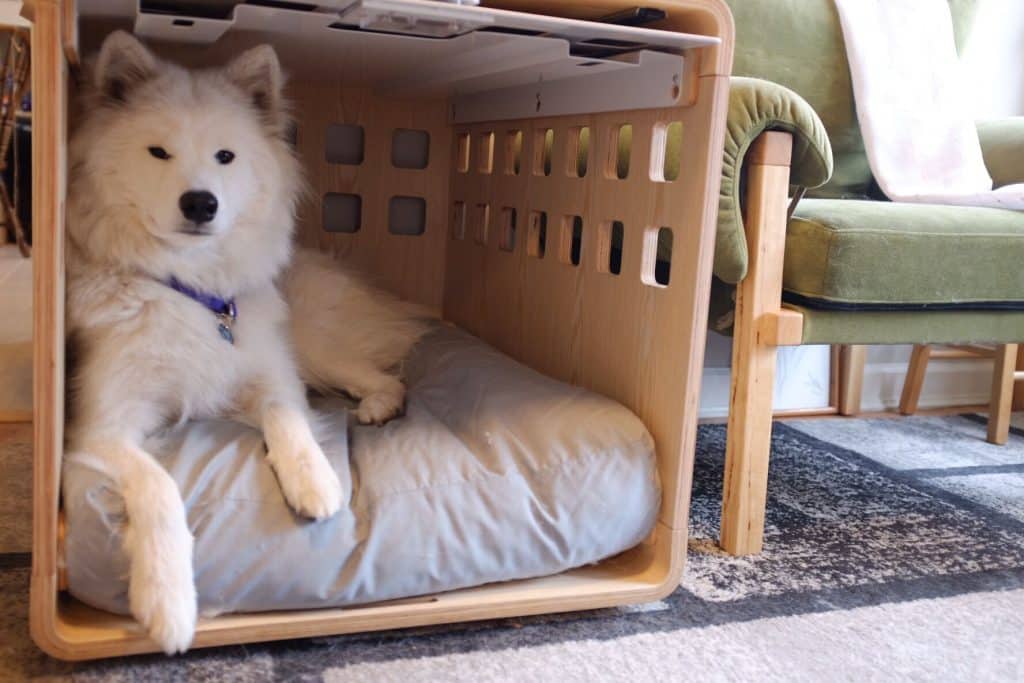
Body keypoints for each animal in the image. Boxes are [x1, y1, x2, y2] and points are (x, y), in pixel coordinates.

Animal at [66, 30, 428, 651]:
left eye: (225, 156)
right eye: (157, 152)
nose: (200, 202)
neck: (190, 290)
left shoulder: (268, 373)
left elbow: (290, 420)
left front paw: (315, 480)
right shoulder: (101, 426)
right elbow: (158, 486)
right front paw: (167, 604)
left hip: (309, 343)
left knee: (381, 373)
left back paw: (379, 404)